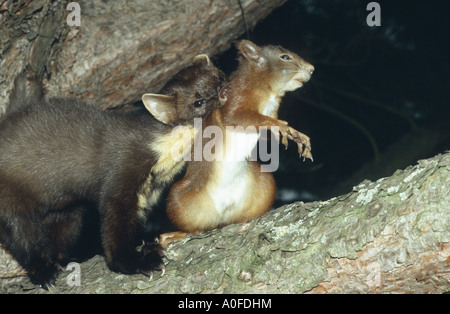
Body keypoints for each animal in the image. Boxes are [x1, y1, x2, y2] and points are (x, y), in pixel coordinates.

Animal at [0, 54, 225, 290]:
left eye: (220, 76)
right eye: (198, 102)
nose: (222, 91)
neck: (166, 160)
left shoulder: (152, 190)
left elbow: (138, 220)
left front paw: (147, 240)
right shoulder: (122, 174)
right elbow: (114, 230)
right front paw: (141, 261)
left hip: (70, 210)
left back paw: (62, 260)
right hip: (12, 198)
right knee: (23, 237)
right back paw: (44, 272)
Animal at [162, 39, 312, 245]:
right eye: (285, 57)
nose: (312, 69)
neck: (268, 92)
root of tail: (223, 213)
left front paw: (293, 133)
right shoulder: (234, 100)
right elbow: (238, 117)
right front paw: (280, 127)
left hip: (264, 185)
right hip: (179, 200)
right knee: (194, 228)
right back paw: (175, 234)